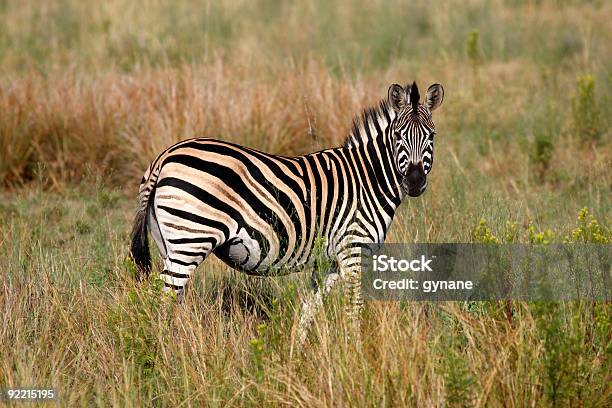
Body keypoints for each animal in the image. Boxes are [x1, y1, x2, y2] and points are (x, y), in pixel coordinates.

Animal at [130, 81, 444, 346]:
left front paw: (297, 352)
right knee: (163, 299)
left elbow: (309, 306)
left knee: (174, 298)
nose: (415, 182)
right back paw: (162, 353)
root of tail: (165, 155)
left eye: (431, 136)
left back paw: (180, 347)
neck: (369, 178)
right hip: (192, 238)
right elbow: (353, 310)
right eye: (398, 136)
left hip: (171, 242)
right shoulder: (353, 251)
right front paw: (355, 353)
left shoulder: (328, 261)